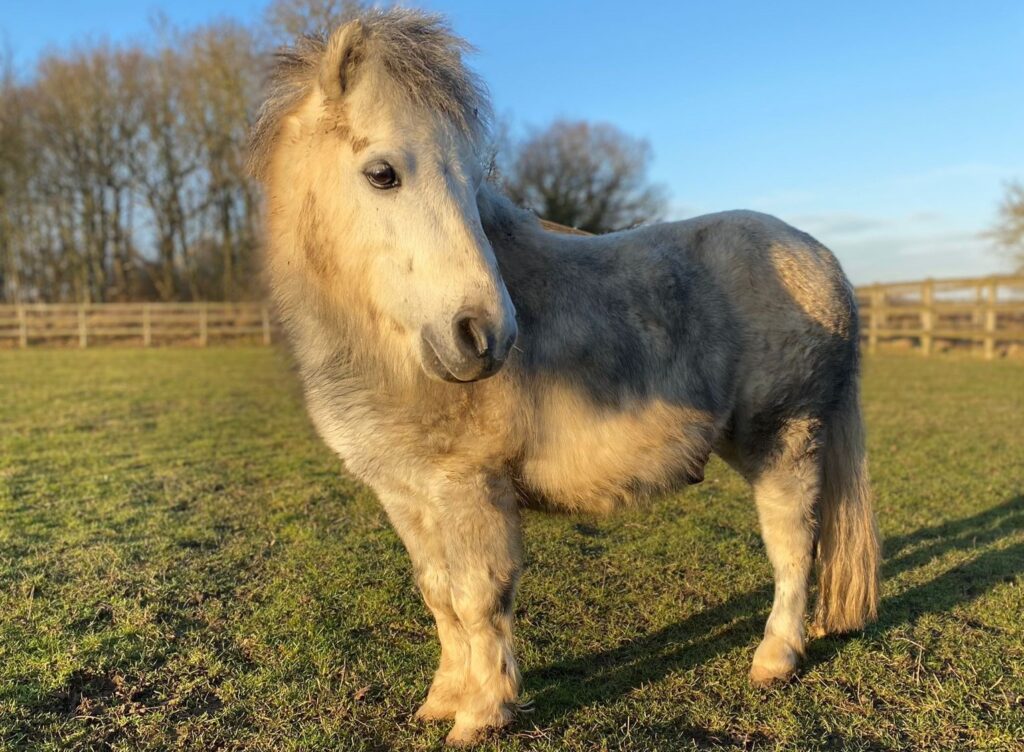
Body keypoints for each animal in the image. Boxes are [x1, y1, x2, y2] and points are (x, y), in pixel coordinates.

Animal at [247, 10, 880, 749]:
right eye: (382, 174)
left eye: (470, 182)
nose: (484, 335)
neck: (386, 349)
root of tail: (822, 260)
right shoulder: (405, 494)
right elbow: (439, 595)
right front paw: (441, 699)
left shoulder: (471, 488)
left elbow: (479, 598)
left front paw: (482, 713)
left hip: (786, 441)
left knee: (792, 549)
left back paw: (775, 659)